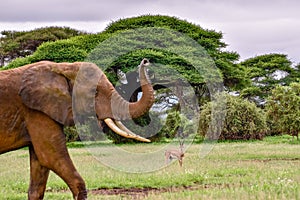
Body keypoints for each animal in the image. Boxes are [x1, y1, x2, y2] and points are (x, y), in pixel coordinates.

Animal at [0, 58, 155, 199]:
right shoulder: (35, 112)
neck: (62, 67)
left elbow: (40, 164)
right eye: (94, 92)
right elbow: (51, 157)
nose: (145, 61)